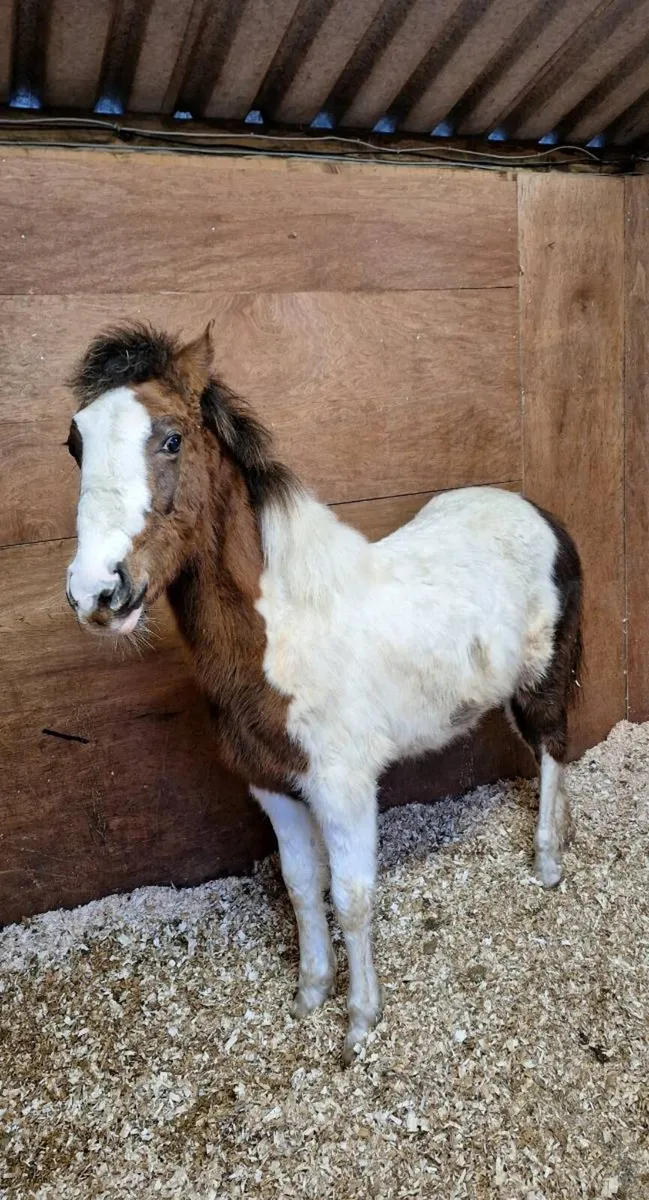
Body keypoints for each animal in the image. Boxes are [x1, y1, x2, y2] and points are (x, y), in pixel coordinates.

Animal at [65, 322, 583, 1064]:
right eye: (74, 442)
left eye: (170, 439)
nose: (96, 592)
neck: (284, 630)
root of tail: (538, 513)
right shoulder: (273, 786)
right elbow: (303, 889)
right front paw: (311, 993)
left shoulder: (344, 787)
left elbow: (353, 898)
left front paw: (360, 1021)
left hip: (540, 684)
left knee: (551, 750)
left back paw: (546, 861)